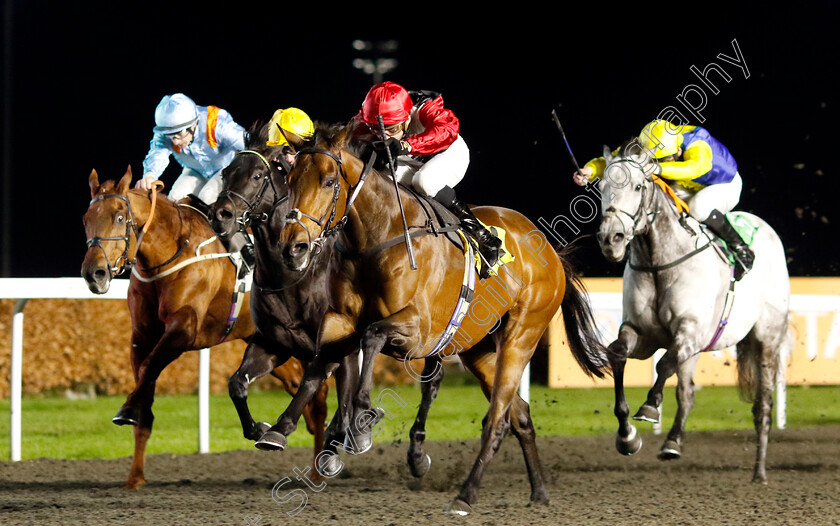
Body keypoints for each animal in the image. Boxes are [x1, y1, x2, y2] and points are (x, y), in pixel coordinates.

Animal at [79, 169, 328, 490]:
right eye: (86, 218)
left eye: (119, 217)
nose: (94, 274)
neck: (169, 254)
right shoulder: (142, 337)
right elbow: (145, 380)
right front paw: (135, 476)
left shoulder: (183, 331)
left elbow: (148, 370)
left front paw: (126, 410)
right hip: (268, 339)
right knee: (296, 382)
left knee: (319, 394)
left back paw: (318, 469)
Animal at [210, 124, 446, 482]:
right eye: (226, 172)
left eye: (257, 175)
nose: (220, 215)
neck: (291, 275)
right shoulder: (273, 343)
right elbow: (237, 383)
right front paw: (261, 428)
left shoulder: (340, 341)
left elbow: (331, 389)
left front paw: (344, 434)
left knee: (430, 382)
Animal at [253, 120, 608, 516]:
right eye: (291, 179)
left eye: (330, 181)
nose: (293, 246)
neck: (379, 234)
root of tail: (552, 251)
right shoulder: (339, 321)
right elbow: (318, 366)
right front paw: (280, 429)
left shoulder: (420, 330)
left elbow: (372, 336)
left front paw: (361, 424)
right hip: (478, 348)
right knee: (520, 415)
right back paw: (539, 491)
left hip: (522, 336)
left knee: (498, 419)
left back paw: (466, 494)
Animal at [592, 139, 792, 482]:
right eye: (602, 187)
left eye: (637, 186)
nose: (611, 239)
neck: (659, 262)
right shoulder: (641, 334)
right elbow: (617, 355)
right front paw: (627, 436)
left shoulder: (690, 331)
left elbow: (663, 366)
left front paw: (649, 407)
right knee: (687, 393)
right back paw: (672, 443)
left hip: (766, 340)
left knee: (762, 406)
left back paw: (760, 471)